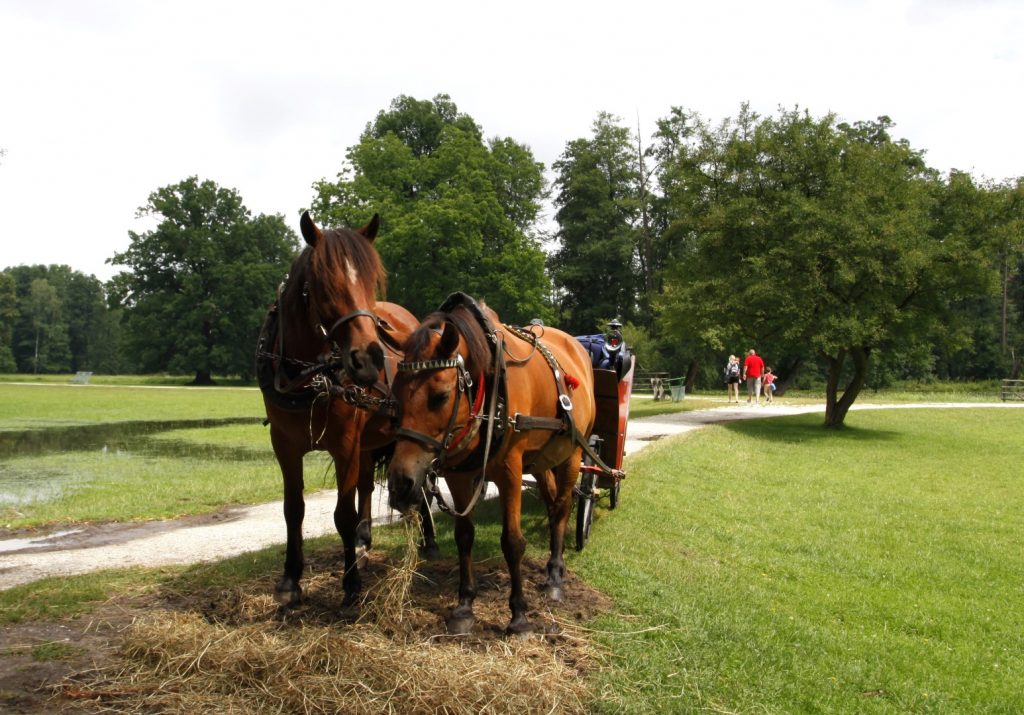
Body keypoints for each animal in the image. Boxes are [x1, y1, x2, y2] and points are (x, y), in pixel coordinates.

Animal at [258, 208, 430, 602]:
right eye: (323, 284)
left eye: (370, 280)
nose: (369, 358)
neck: (309, 376)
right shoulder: (284, 445)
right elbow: (294, 509)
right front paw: (291, 579)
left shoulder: (345, 446)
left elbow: (342, 514)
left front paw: (350, 583)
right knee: (367, 485)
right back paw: (365, 542)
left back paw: (426, 537)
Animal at [385, 292, 598, 631]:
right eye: (395, 394)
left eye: (440, 396)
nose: (401, 484)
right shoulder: (458, 475)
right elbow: (464, 536)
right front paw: (465, 604)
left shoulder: (510, 470)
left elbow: (512, 541)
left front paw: (519, 615)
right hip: (541, 461)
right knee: (553, 504)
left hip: (573, 454)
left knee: (562, 508)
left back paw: (554, 575)